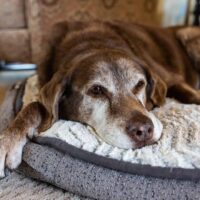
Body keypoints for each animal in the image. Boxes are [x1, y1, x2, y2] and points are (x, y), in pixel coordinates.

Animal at [0, 21, 200, 177]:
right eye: (96, 90)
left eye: (140, 84)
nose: (144, 130)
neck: (93, 43)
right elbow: (33, 106)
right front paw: (8, 141)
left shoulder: (172, 80)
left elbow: (191, 94)